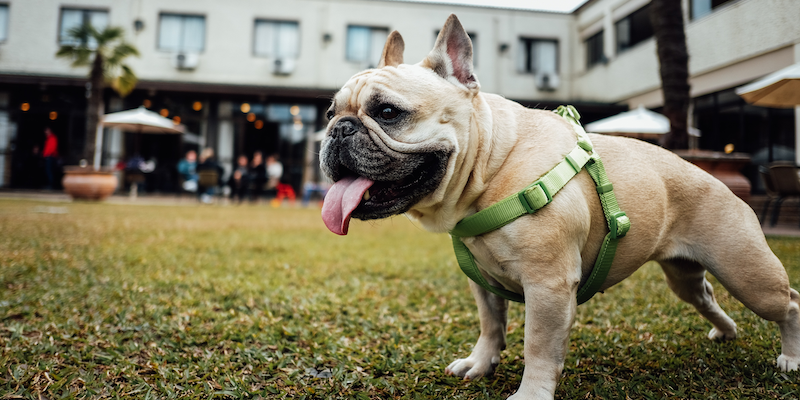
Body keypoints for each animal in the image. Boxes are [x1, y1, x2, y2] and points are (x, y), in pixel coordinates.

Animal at [318, 14, 800, 398]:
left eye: (387, 112)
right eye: (329, 112)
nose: (338, 130)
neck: (493, 166)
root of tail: (716, 178)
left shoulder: (547, 285)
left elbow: (538, 346)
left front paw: (530, 393)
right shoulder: (482, 282)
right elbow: (491, 325)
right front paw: (480, 363)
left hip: (746, 271)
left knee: (789, 303)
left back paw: (791, 359)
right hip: (684, 274)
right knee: (705, 293)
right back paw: (725, 331)